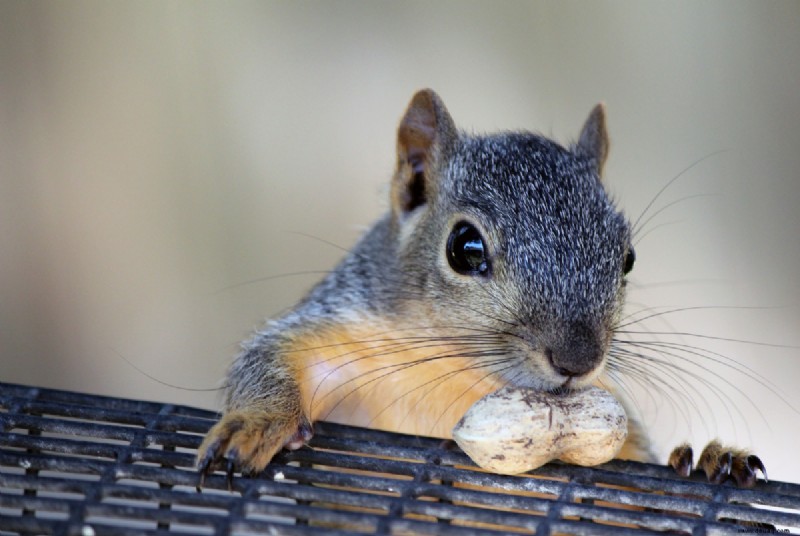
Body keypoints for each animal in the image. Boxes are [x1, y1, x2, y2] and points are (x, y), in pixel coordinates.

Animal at [197, 89, 764, 490]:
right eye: (464, 247)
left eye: (627, 257)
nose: (578, 360)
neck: (462, 373)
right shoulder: (346, 325)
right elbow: (269, 352)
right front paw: (255, 422)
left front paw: (707, 457)